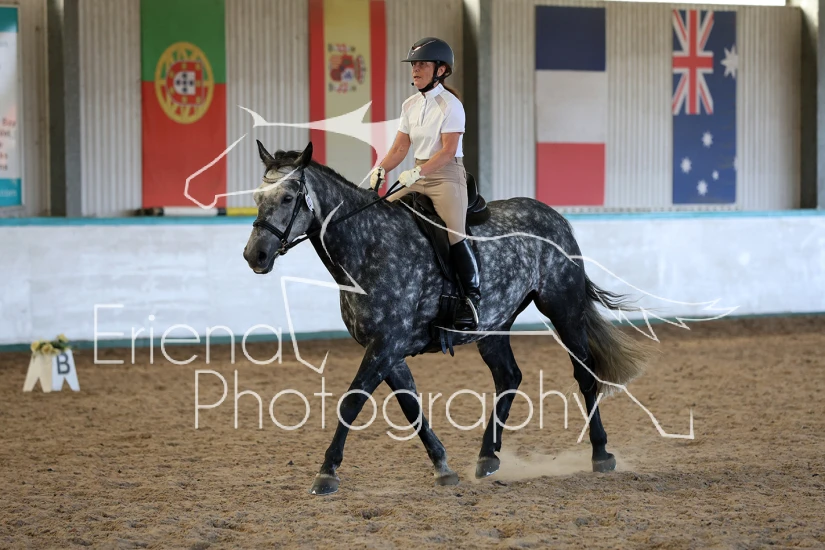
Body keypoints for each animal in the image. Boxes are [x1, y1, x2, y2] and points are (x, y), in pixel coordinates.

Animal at [243, 141, 647, 495]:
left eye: (289, 197)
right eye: (258, 198)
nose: (254, 255)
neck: (369, 246)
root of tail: (555, 217)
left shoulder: (386, 346)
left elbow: (352, 402)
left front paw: (326, 473)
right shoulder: (387, 350)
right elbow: (411, 406)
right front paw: (443, 467)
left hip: (563, 309)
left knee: (585, 375)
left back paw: (601, 454)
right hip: (493, 327)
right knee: (509, 377)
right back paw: (487, 458)